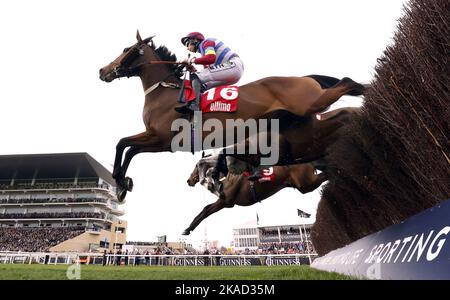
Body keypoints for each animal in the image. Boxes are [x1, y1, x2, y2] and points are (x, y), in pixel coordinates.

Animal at [98, 31, 366, 202]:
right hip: (300, 120)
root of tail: (302, 78)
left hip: (311, 102)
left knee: (346, 82)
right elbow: (128, 147)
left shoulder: (163, 139)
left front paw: (119, 180)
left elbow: (123, 144)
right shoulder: (156, 139)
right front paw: (122, 183)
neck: (165, 92)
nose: (103, 71)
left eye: (126, 50)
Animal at [183, 156, 326, 236]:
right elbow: (205, 209)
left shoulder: (226, 202)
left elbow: (206, 210)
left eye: (196, 166)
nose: (189, 180)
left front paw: (188, 229)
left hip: (306, 184)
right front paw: (188, 228)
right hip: (303, 185)